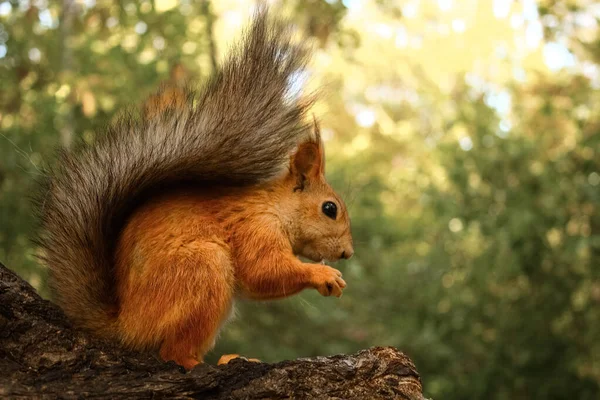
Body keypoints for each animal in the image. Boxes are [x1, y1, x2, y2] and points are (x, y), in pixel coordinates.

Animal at [36, 7, 352, 370]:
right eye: (329, 209)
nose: (347, 253)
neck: (274, 206)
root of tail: (126, 325)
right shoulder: (255, 227)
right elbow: (263, 271)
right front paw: (323, 275)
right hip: (202, 271)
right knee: (173, 352)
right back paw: (200, 363)